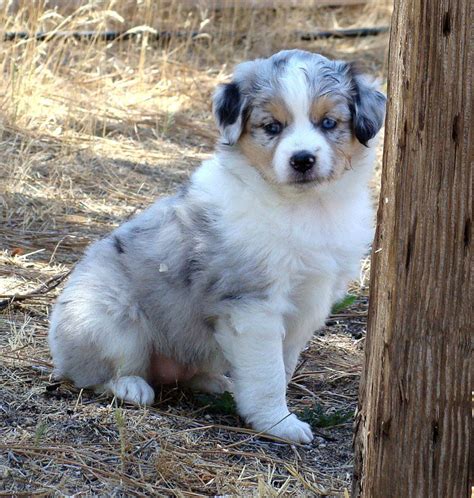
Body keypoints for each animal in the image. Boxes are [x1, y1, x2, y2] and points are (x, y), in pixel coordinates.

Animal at [50, 48, 386, 442]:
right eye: (273, 127)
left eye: (328, 123)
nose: (303, 159)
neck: (305, 207)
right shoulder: (253, 305)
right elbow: (268, 374)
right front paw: (280, 424)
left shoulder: (309, 303)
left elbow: (283, 364)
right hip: (109, 317)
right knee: (96, 373)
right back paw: (130, 386)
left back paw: (217, 383)